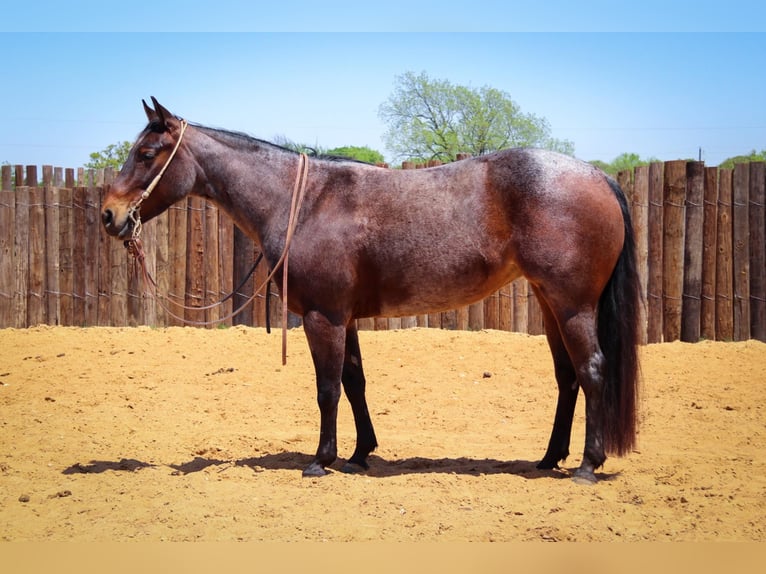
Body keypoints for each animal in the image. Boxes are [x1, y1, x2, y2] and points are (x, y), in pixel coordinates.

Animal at [102, 99, 640, 486]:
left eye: (146, 154)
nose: (109, 215)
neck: (304, 201)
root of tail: (599, 176)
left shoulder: (322, 317)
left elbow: (326, 388)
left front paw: (321, 460)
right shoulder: (346, 318)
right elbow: (354, 382)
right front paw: (361, 454)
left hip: (573, 307)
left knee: (591, 371)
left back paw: (587, 465)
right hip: (551, 306)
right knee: (567, 377)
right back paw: (549, 458)